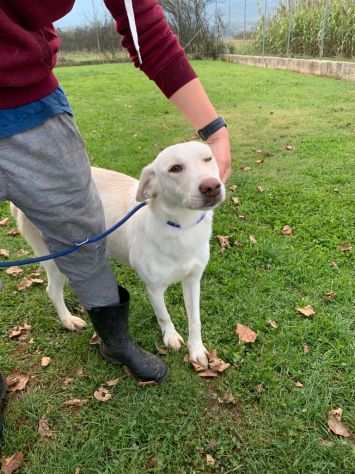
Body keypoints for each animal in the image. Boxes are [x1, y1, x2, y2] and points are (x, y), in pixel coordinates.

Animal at [10, 141, 225, 366]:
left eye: (208, 158)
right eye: (175, 168)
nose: (211, 186)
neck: (181, 226)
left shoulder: (193, 280)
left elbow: (195, 319)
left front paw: (196, 349)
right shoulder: (154, 288)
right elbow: (163, 315)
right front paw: (171, 336)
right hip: (58, 259)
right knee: (52, 290)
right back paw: (68, 320)